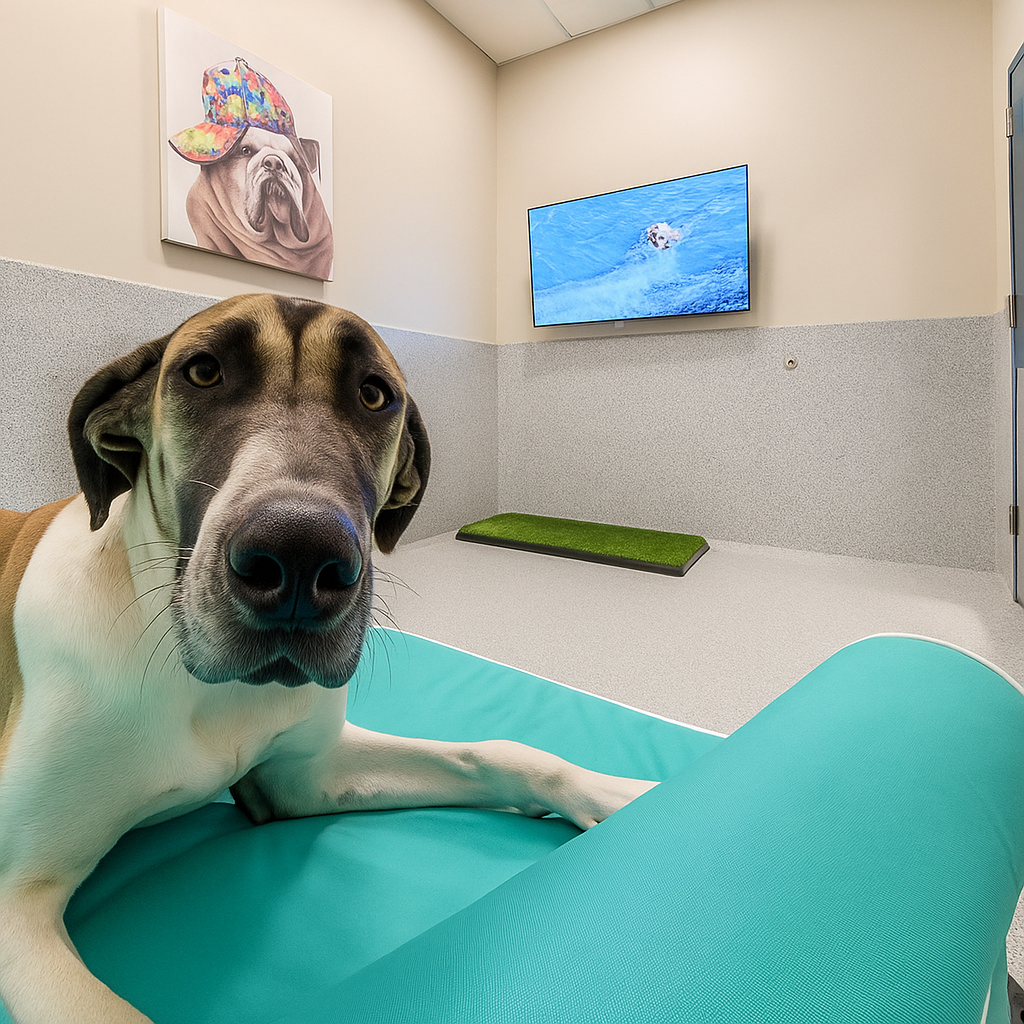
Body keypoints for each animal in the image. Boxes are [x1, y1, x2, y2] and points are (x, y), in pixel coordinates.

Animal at [0, 295, 656, 1023]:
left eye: (373, 395)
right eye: (203, 372)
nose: (299, 556)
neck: (203, 690)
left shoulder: (304, 777)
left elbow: (500, 751)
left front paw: (626, 794)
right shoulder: (18, 905)